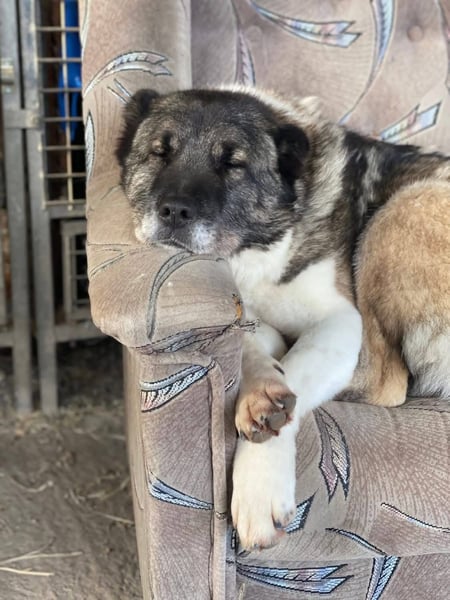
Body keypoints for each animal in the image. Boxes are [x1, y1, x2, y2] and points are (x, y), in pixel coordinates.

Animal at [116, 86, 450, 550]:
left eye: (233, 164)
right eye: (159, 153)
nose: (174, 212)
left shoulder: (341, 322)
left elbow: (295, 373)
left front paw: (260, 484)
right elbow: (248, 332)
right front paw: (261, 379)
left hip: (402, 209)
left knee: (386, 379)